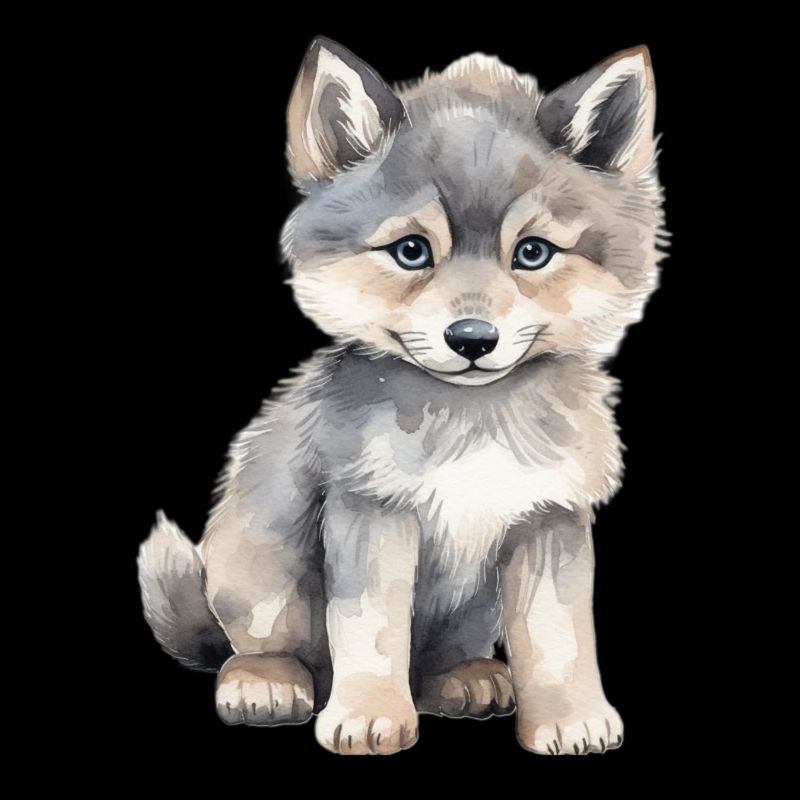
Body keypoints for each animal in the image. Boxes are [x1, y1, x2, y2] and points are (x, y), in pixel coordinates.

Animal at [138, 37, 665, 756]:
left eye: (532, 254)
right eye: (412, 251)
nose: (472, 338)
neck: (474, 421)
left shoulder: (548, 517)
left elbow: (558, 637)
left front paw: (569, 719)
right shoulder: (371, 512)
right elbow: (371, 630)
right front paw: (368, 716)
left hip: (472, 610)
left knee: (437, 659)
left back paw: (466, 679)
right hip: (261, 568)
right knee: (250, 646)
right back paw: (265, 682)